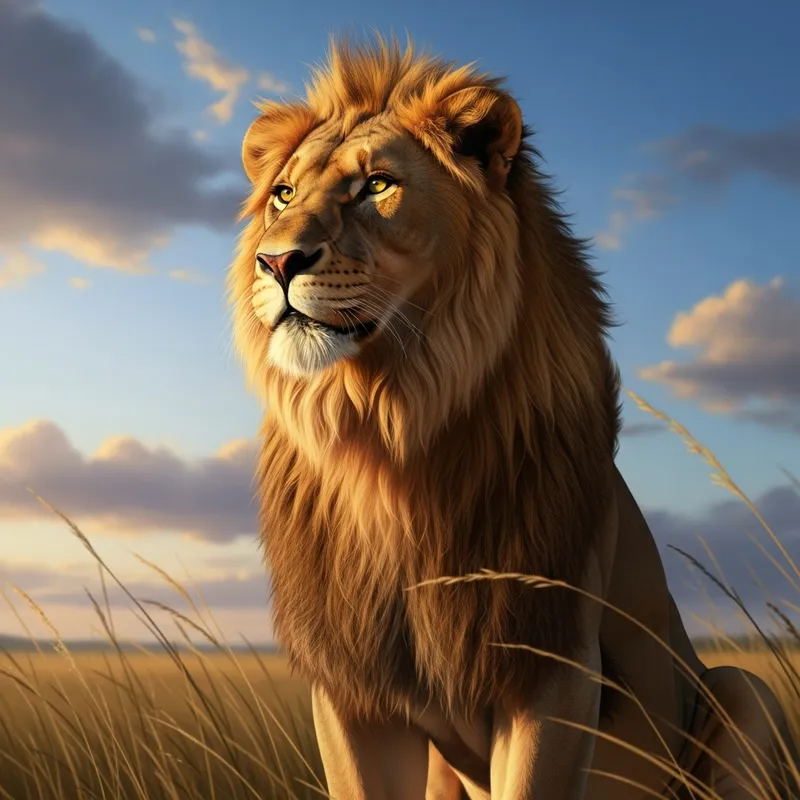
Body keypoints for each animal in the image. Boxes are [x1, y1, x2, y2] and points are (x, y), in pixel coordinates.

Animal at [228, 36, 798, 799]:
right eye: (283, 195)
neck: (387, 432)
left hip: (743, 690)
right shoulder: (353, 687)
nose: (277, 260)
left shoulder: (553, 668)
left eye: (376, 186)